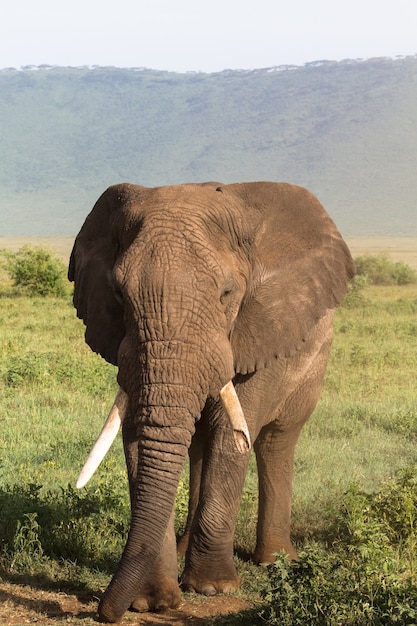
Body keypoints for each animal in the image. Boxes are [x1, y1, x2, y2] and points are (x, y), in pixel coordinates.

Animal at [68, 179, 354, 620]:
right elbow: (137, 433)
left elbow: (232, 429)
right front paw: (152, 601)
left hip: (314, 359)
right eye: (118, 293)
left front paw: (213, 588)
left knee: (275, 441)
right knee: (199, 445)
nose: (102, 611)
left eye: (226, 293)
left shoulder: (258, 328)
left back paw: (275, 561)